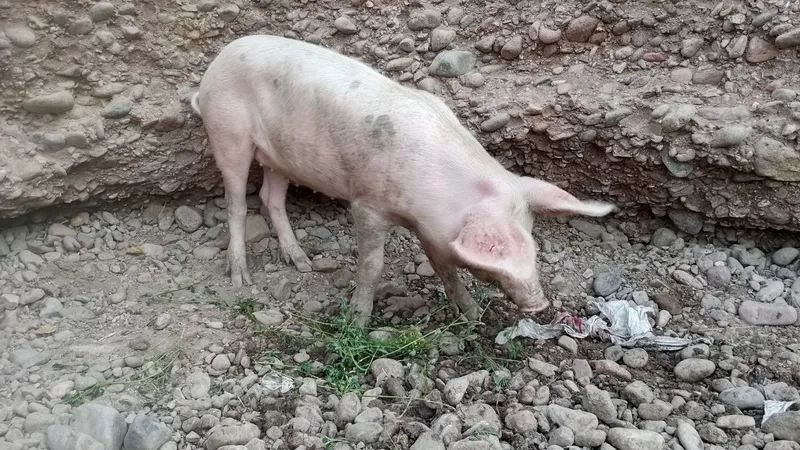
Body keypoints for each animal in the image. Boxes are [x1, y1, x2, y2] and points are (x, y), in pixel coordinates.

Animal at [190, 34, 617, 326]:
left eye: (533, 244)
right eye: (495, 255)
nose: (539, 304)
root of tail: (213, 67)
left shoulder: (432, 230)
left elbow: (446, 270)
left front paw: (472, 314)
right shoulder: (366, 204)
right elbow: (372, 265)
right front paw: (358, 322)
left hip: (280, 156)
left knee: (271, 198)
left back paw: (303, 264)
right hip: (227, 131)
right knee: (237, 203)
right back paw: (241, 277)